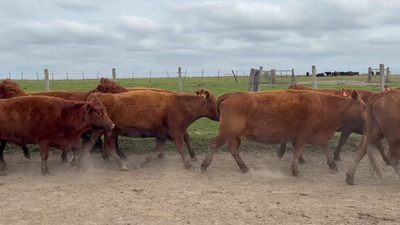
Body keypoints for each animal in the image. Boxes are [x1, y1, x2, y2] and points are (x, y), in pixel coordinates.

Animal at [81, 89, 219, 171]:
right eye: (214, 102)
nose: (220, 116)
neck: (182, 106)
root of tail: (100, 95)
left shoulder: (162, 136)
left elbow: (158, 151)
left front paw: (142, 161)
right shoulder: (177, 133)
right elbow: (181, 149)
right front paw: (188, 164)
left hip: (105, 131)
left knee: (94, 145)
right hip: (109, 132)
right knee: (105, 147)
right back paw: (119, 164)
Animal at [200, 89, 366, 177]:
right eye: (364, 107)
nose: (368, 120)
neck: (324, 105)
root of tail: (232, 95)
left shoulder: (317, 135)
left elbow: (326, 148)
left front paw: (332, 165)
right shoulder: (304, 135)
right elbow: (298, 152)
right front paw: (295, 170)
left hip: (235, 135)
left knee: (233, 150)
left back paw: (245, 167)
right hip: (227, 132)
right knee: (213, 144)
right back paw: (204, 165)